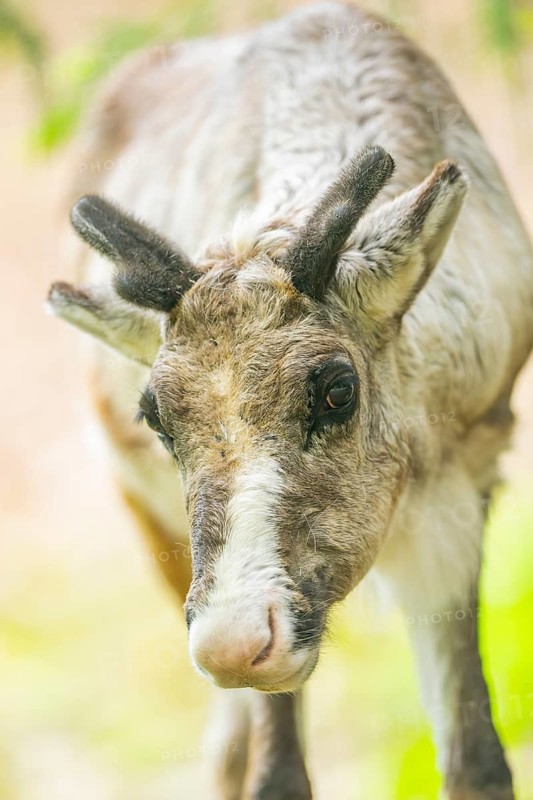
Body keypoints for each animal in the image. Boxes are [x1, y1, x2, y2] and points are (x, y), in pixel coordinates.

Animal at [46, 3, 533, 799]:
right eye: (156, 417)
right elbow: (275, 774)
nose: (233, 644)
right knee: (226, 747)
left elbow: (478, 762)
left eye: (337, 389)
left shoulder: (466, 494)